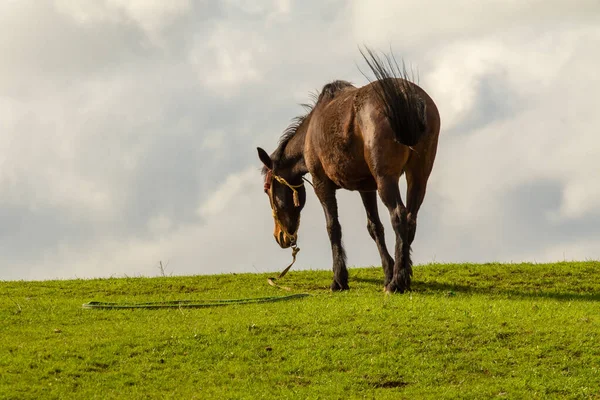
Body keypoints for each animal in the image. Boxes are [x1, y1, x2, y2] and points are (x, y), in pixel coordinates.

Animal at [256, 47, 440, 294]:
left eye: (268, 189)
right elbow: (375, 227)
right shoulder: (367, 187)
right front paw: (387, 271)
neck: (311, 132)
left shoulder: (322, 184)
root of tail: (406, 98)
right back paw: (402, 276)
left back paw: (397, 283)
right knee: (410, 218)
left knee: (399, 216)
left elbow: (333, 227)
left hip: (386, 179)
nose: (281, 236)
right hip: (418, 176)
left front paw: (339, 279)